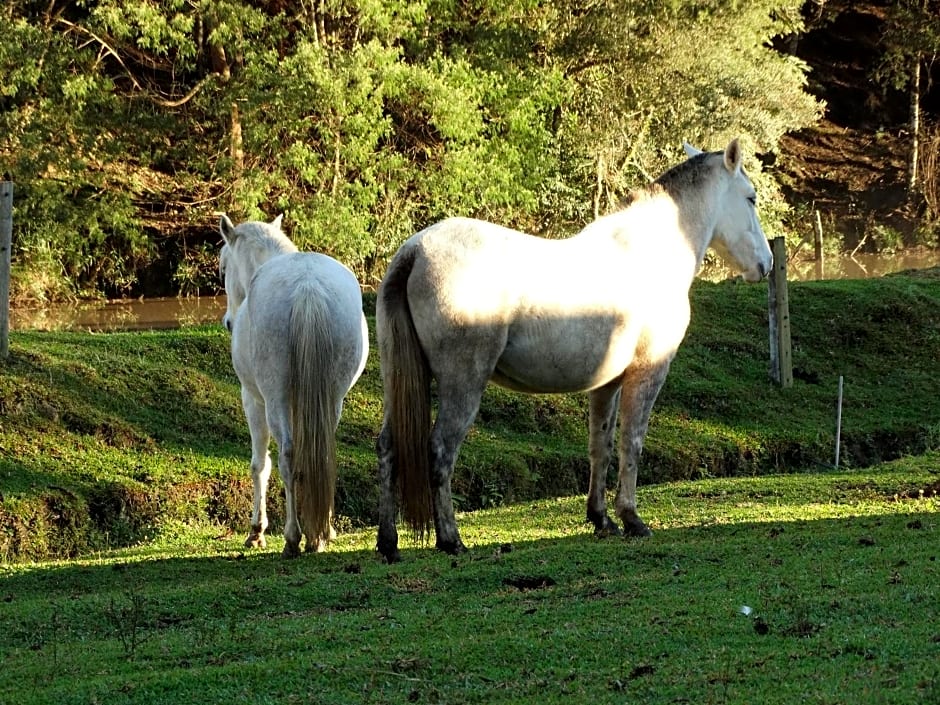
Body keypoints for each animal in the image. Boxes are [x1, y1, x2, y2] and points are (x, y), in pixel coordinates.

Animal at [218, 213, 370, 556]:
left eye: (222, 267)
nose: (229, 322)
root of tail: (307, 286)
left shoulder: (253, 400)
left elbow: (260, 464)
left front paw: (256, 531)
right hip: (332, 398)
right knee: (323, 451)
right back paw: (321, 533)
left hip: (274, 399)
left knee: (286, 455)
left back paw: (293, 537)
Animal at [372, 138, 772, 560]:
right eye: (751, 198)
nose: (765, 263)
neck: (648, 254)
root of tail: (415, 250)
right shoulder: (648, 371)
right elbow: (632, 443)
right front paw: (632, 519)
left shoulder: (607, 383)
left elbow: (601, 445)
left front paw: (601, 518)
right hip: (462, 384)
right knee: (440, 450)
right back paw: (450, 539)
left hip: (400, 381)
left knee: (388, 447)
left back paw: (389, 542)